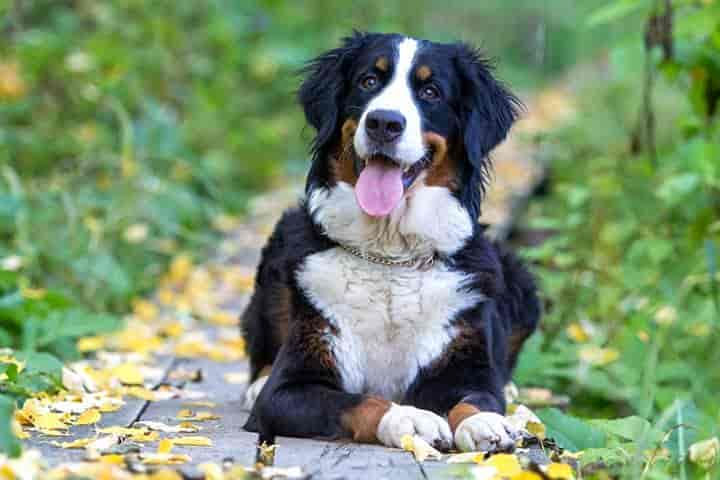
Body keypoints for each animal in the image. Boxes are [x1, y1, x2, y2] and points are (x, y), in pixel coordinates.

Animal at [242, 31, 540, 454]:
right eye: (368, 81)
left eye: (431, 91)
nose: (384, 122)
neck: (390, 255)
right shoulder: (290, 387)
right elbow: (360, 401)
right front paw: (409, 418)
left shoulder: (465, 364)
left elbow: (475, 398)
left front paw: (484, 422)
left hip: (519, 280)